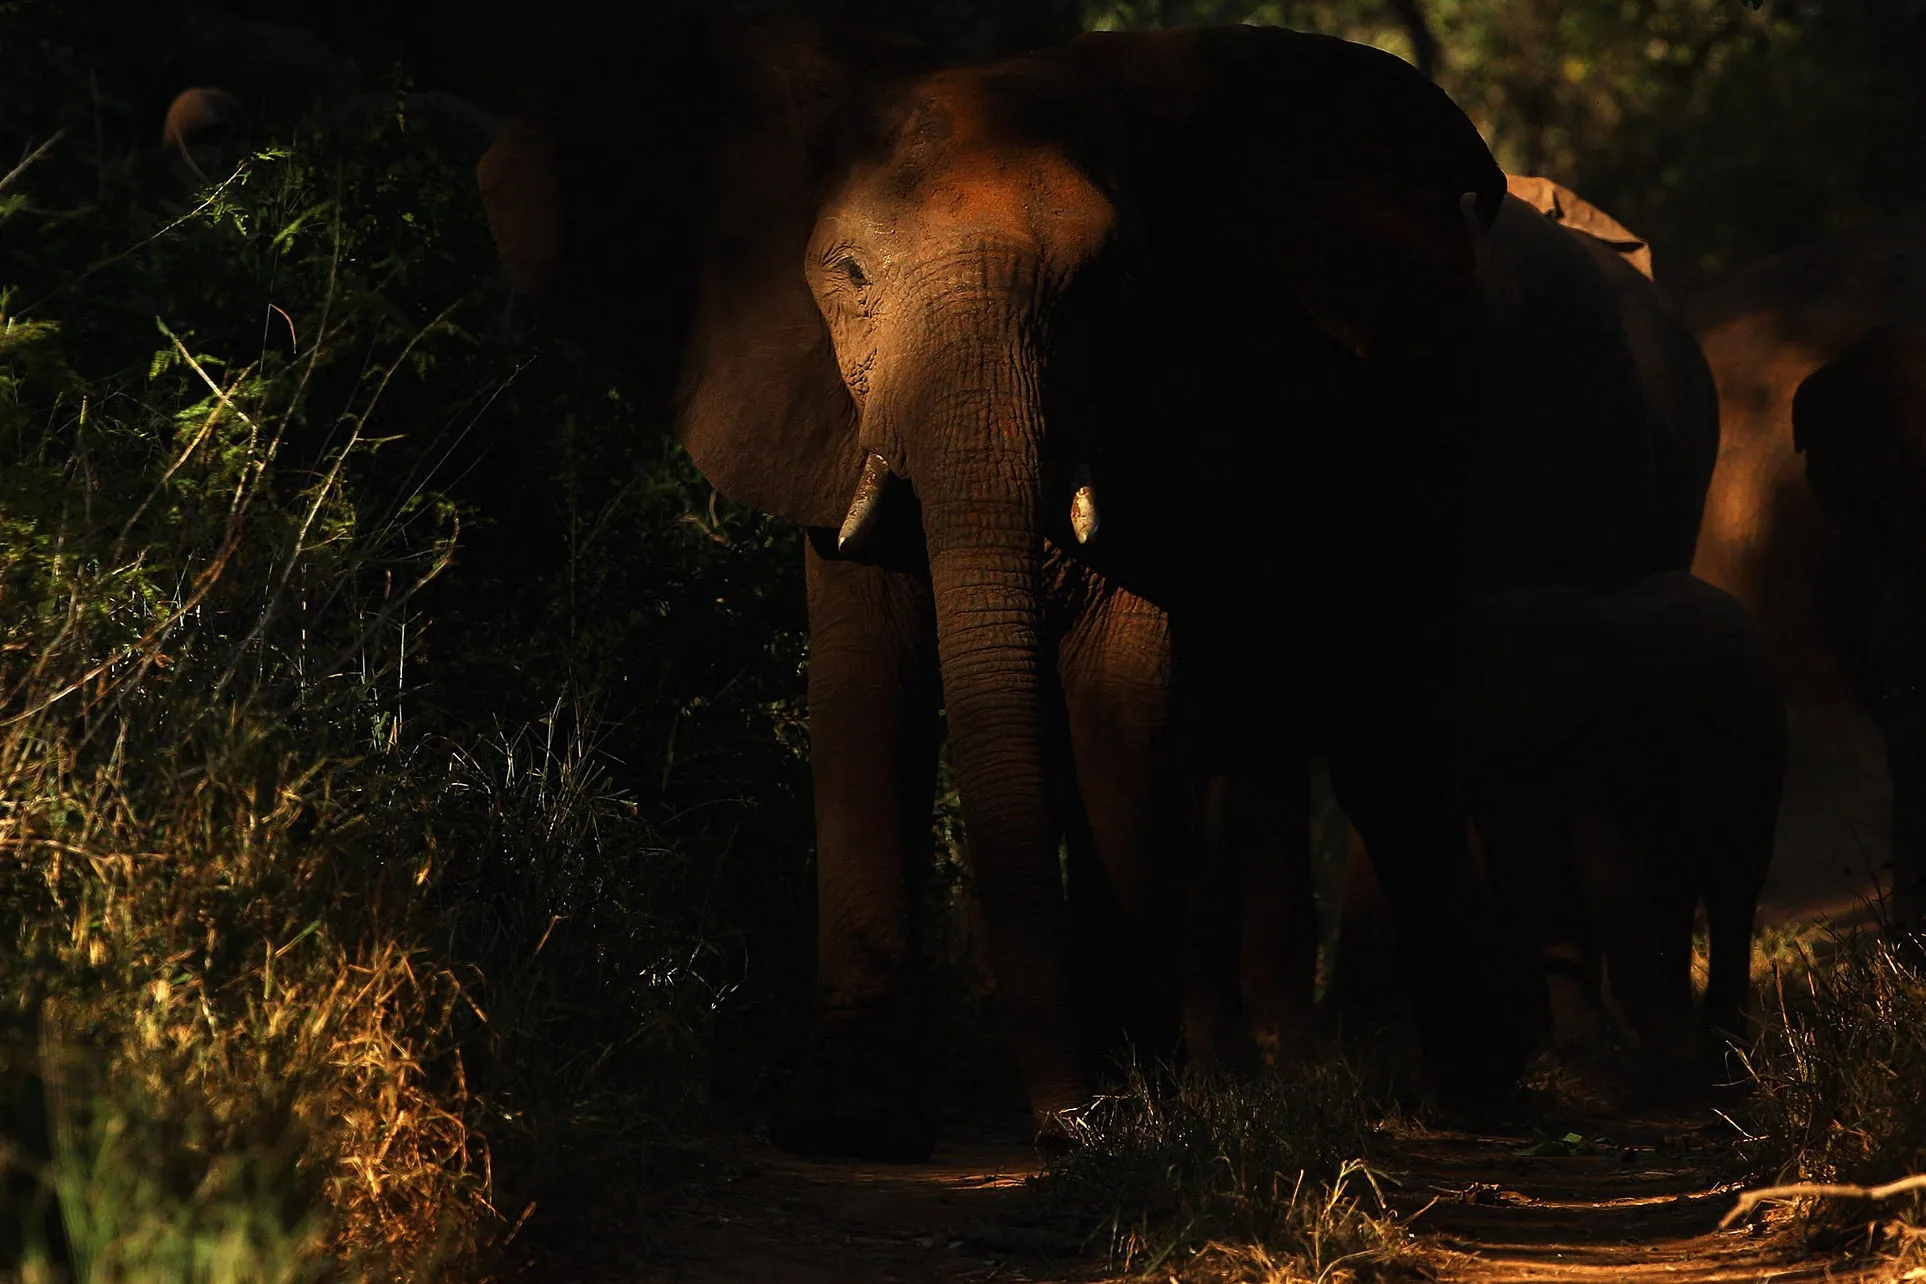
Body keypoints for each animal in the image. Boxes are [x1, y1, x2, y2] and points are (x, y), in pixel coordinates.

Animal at [477, 17, 1535, 1154]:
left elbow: (1118, 693)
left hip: (1431, 424)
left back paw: (1470, 1101)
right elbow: (864, 684)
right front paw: (850, 1126)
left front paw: (1137, 1112)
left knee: (1387, 731)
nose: (1065, 1124)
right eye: (850, 272)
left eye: (1113, 285)